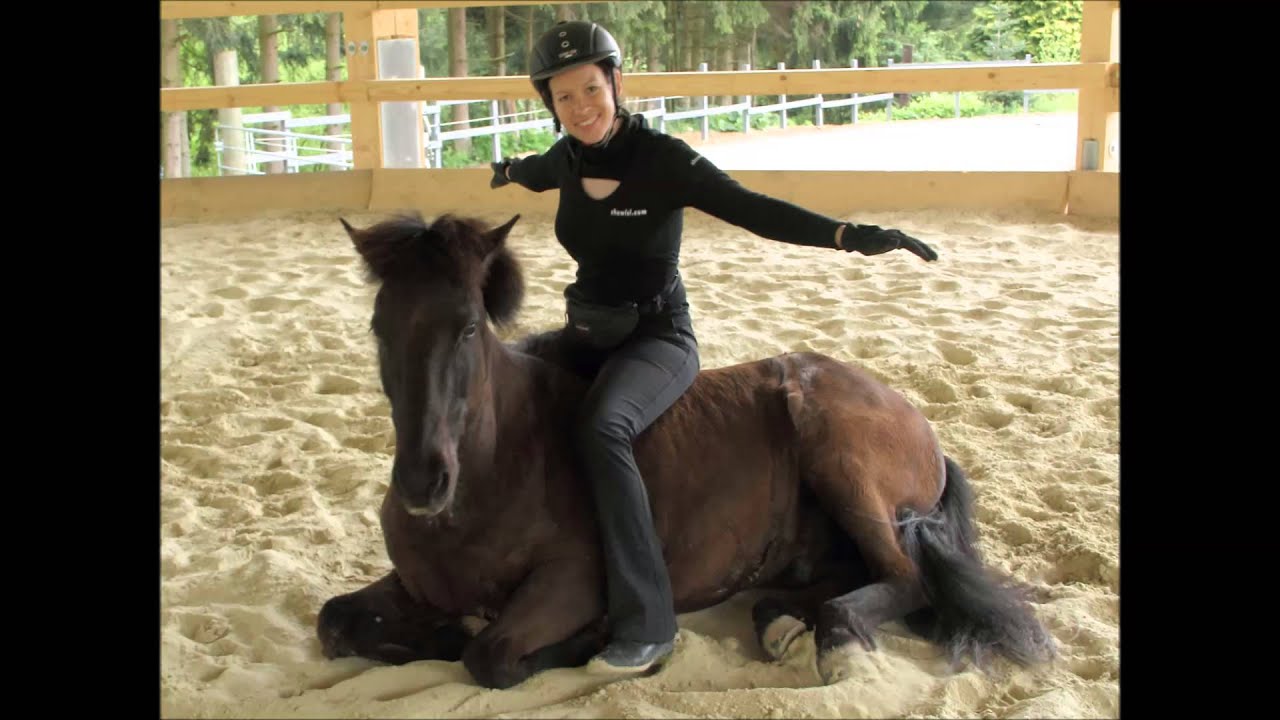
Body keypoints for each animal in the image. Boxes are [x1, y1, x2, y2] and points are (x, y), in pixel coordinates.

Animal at [316, 210, 1055, 690]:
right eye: (378, 327)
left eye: (468, 327)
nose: (422, 483)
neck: (497, 470)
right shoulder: (418, 583)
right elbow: (334, 621)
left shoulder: (569, 581)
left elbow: (490, 655)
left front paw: (582, 641)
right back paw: (781, 621)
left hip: (840, 459)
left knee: (903, 578)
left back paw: (831, 638)